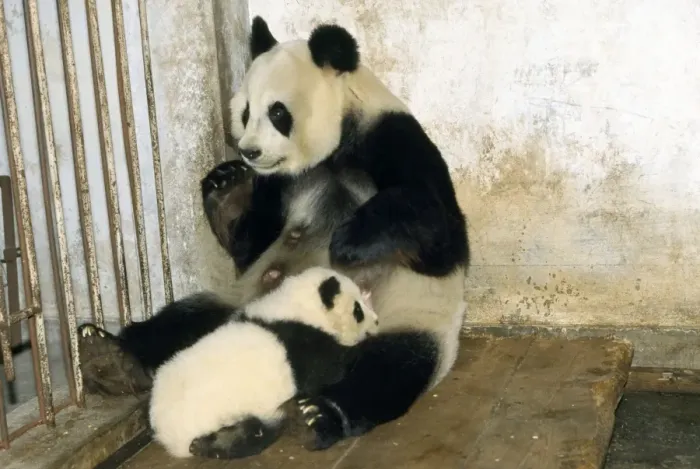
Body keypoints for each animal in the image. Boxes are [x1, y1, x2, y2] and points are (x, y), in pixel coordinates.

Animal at [147, 266, 378, 459]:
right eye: (358, 310)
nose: (376, 321)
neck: (299, 307)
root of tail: (169, 436)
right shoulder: (302, 345)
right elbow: (330, 369)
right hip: (230, 410)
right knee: (255, 433)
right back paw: (216, 444)